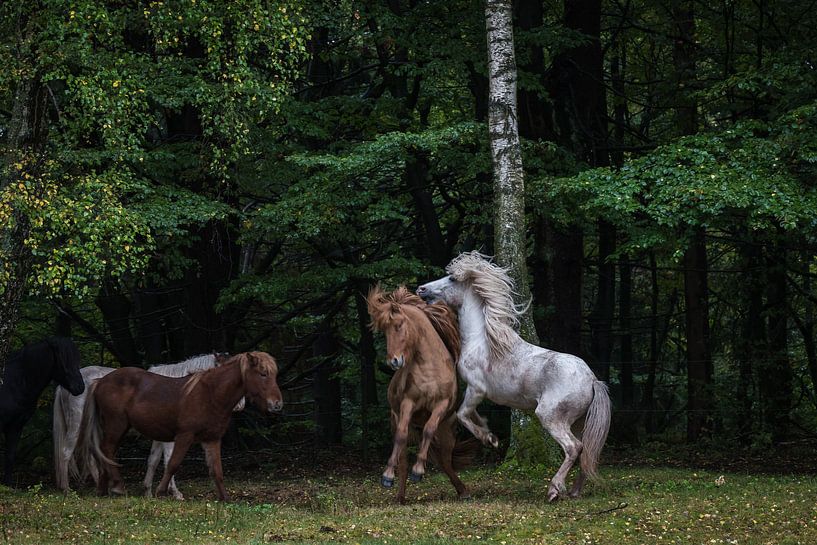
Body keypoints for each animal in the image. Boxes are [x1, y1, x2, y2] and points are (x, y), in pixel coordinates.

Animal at [1, 337, 85, 486]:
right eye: (63, 360)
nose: (80, 387)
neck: (13, 383)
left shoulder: (16, 426)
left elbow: (10, 455)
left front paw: (8, 484)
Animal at [53, 353, 243, 498]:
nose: (240, 406)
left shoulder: (160, 437)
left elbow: (153, 460)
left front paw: (148, 491)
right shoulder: (172, 438)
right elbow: (168, 460)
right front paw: (174, 493)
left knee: (95, 454)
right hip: (79, 425)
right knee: (66, 452)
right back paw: (67, 489)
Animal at [79, 351, 282, 501]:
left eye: (274, 375)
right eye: (263, 374)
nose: (277, 405)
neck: (210, 395)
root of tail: (100, 381)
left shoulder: (212, 439)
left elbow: (216, 470)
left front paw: (224, 498)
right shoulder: (184, 436)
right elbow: (172, 463)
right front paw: (163, 492)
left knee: (103, 452)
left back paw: (103, 489)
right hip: (117, 424)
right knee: (107, 449)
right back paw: (117, 486)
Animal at [367, 285, 472, 504]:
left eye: (399, 325)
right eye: (384, 330)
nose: (394, 361)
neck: (430, 370)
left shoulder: (441, 404)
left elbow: (429, 430)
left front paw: (419, 470)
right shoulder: (408, 403)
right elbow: (401, 436)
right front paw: (387, 475)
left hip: (447, 433)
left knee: (444, 461)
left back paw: (463, 491)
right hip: (400, 420)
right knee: (406, 457)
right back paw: (400, 495)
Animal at [417, 252, 612, 502]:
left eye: (451, 278)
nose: (421, 289)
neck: (482, 341)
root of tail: (592, 380)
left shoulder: (476, 389)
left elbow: (462, 415)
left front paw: (489, 439)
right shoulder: (476, 393)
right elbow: (471, 415)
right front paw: (489, 433)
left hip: (550, 416)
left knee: (573, 447)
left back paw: (554, 490)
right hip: (578, 422)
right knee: (586, 449)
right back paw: (575, 491)